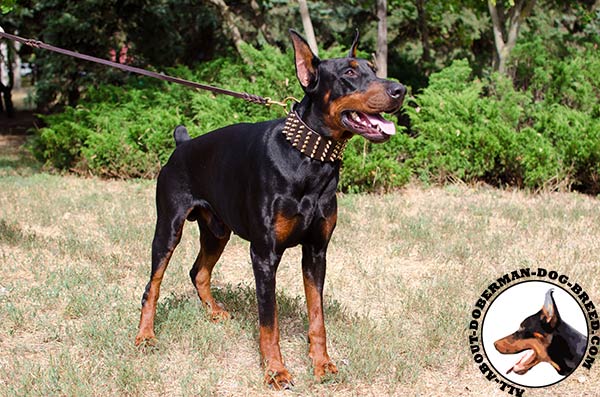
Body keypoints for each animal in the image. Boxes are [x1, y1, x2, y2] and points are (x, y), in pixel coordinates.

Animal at [135, 30, 408, 386]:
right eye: (349, 73)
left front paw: (322, 363)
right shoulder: (264, 254)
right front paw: (276, 370)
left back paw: (214, 312)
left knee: (199, 272)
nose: (400, 90)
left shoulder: (317, 251)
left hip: (217, 231)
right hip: (168, 227)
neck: (309, 159)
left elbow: (317, 316)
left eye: (372, 69)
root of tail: (183, 144)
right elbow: (269, 320)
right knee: (152, 286)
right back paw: (145, 336)